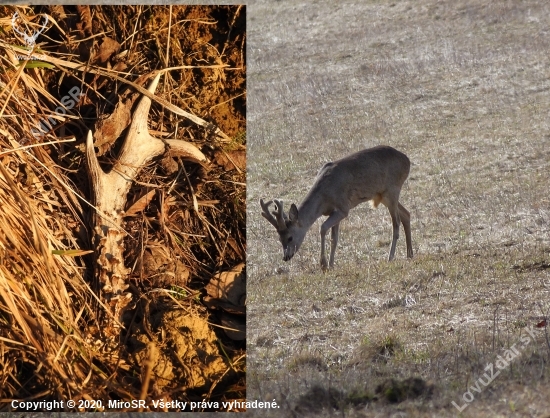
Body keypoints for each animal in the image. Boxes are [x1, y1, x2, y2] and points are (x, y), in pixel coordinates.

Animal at [262, 145, 414, 270]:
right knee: (406, 214)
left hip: (392, 189)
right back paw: (410, 254)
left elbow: (323, 228)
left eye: (290, 237)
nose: (285, 257)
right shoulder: (334, 212)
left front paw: (323, 264)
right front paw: (331, 265)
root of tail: (407, 160)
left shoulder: (342, 208)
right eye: (279, 238)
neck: (324, 196)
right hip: (382, 195)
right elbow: (334, 239)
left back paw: (390, 257)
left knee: (396, 223)